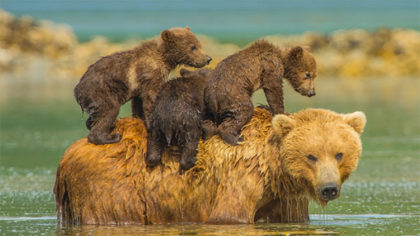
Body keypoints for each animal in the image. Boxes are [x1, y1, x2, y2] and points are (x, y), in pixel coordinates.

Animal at [55, 108, 364, 224]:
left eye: (339, 154)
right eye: (311, 156)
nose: (328, 188)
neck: (273, 169)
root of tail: (67, 155)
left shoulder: (285, 198)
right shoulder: (240, 178)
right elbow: (229, 215)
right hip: (112, 185)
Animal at [74, 27, 212, 146]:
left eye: (199, 44)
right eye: (193, 47)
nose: (208, 58)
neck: (164, 58)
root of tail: (77, 89)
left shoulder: (140, 86)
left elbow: (138, 103)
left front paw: (139, 118)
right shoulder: (150, 75)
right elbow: (150, 98)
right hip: (101, 91)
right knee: (110, 110)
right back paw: (110, 137)